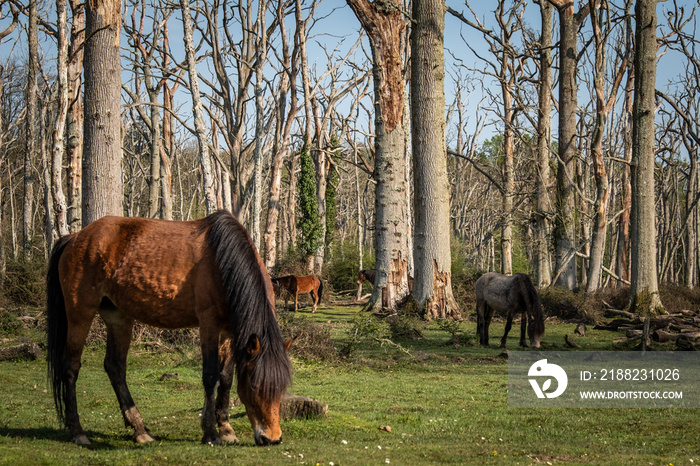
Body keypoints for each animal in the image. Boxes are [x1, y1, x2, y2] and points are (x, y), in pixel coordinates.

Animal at [45, 210, 292, 444]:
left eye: (281, 389)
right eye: (254, 387)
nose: (272, 438)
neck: (223, 263)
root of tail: (75, 237)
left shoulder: (230, 332)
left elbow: (226, 377)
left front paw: (226, 429)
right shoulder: (209, 325)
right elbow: (210, 375)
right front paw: (210, 433)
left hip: (118, 317)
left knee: (115, 367)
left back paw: (139, 430)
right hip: (80, 313)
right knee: (71, 366)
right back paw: (78, 432)